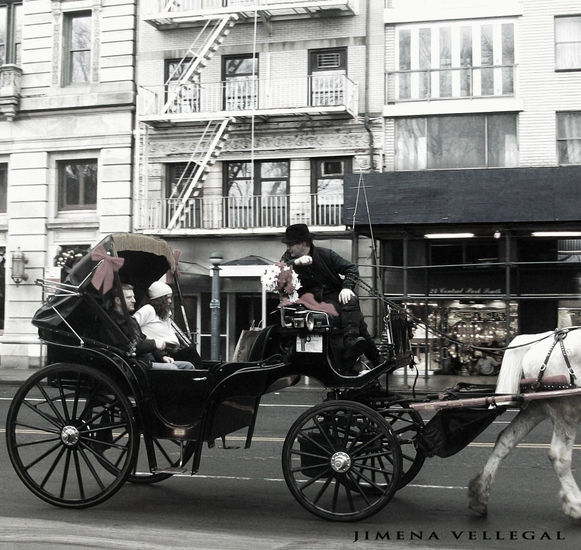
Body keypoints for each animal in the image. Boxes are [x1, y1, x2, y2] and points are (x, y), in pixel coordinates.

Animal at [468, 330, 581, 524]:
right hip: (566, 407)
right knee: (559, 457)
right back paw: (575, 505)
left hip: (537, 407)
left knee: (505, 439)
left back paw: (479, 495)